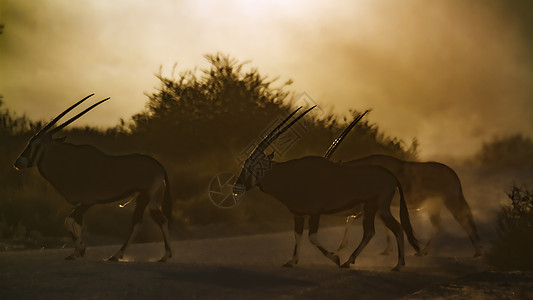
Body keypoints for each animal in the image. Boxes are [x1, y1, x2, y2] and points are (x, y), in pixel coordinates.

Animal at [14, 95, 172, 262]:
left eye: (37, 144)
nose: (18, 162)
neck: (67, 160)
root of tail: (159, 166)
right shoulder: (80, 203)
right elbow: (76, 224)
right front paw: (76, 252)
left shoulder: (88, 202)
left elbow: (68, 221)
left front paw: (80, 250)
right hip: (150, 199)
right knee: (160, 219)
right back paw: (164, 255)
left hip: (144, 196)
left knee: (138, 223)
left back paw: (117, 255)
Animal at [233, 107, 420, 270]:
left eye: (253, 167)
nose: (236, 188)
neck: (292, 175)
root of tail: (391, 176)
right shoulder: (299, 214)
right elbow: (297, 235)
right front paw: (292, 262)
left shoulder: (315, 212)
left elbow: (312, 237)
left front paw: (335, 258)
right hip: (373, 209)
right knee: (374, 231)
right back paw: (351, 261)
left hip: (377, 207)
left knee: (391, 229)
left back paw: (396, 265)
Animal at [328, 116, 482, 256]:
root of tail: (454, 176)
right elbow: (360, 220)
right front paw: (386, 250)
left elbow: (361, 220)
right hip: (434, 204)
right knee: (439, 225)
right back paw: (424, 251)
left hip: (450, 200)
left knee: (463, 219)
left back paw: (476, 252)